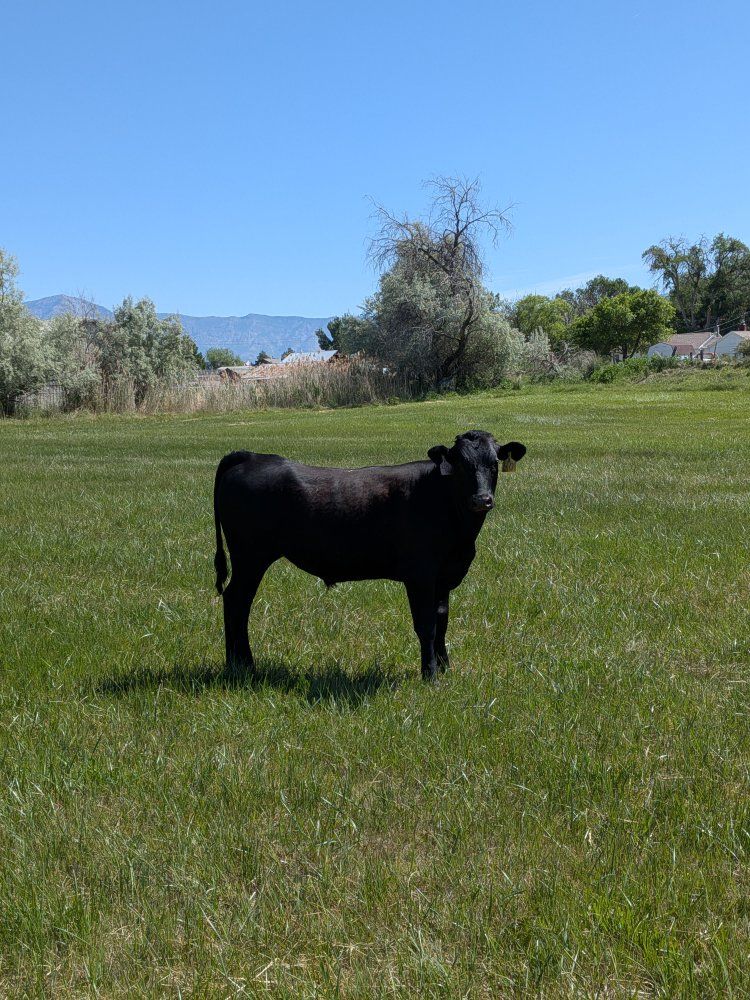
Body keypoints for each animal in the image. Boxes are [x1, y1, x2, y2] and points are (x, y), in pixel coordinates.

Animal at [213, 430, 526, 680]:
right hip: (250, 557)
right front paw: (430, 676)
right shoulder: (420, 575)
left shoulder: (444, 577)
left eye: (494, 464)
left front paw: (445, 668)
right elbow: (426, 625)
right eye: (460, 465)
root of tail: (252, 457)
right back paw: (240, 666)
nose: (482, 500)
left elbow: (442, 622)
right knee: (236, 601)